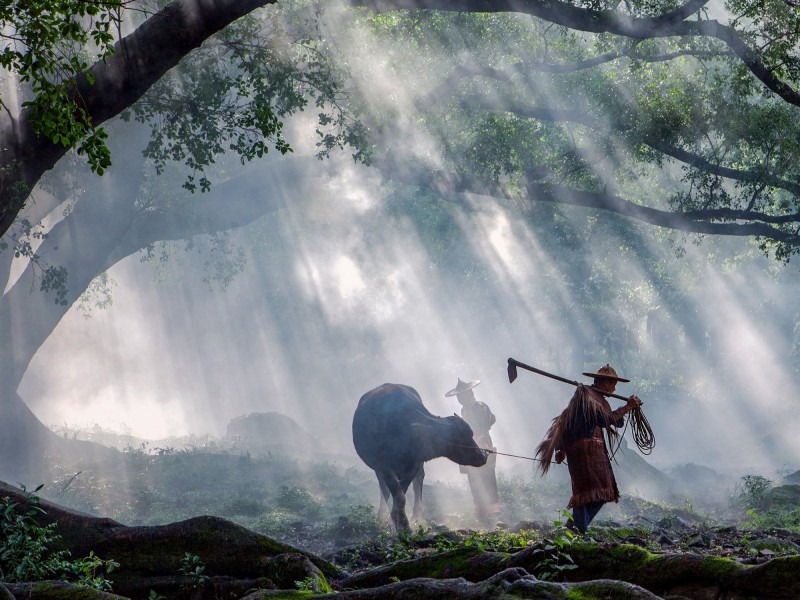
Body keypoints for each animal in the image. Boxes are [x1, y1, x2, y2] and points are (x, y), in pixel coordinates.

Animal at [354, 384, 490, 528]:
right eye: (463, 437)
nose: (483, 456)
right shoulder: (383, 466)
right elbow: (397, 494)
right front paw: (397, 522)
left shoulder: (414, 465)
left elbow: (402, 493)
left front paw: (399, 521)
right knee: (384, 488)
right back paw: (381, 515)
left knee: (418, 483)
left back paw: (418, 516)